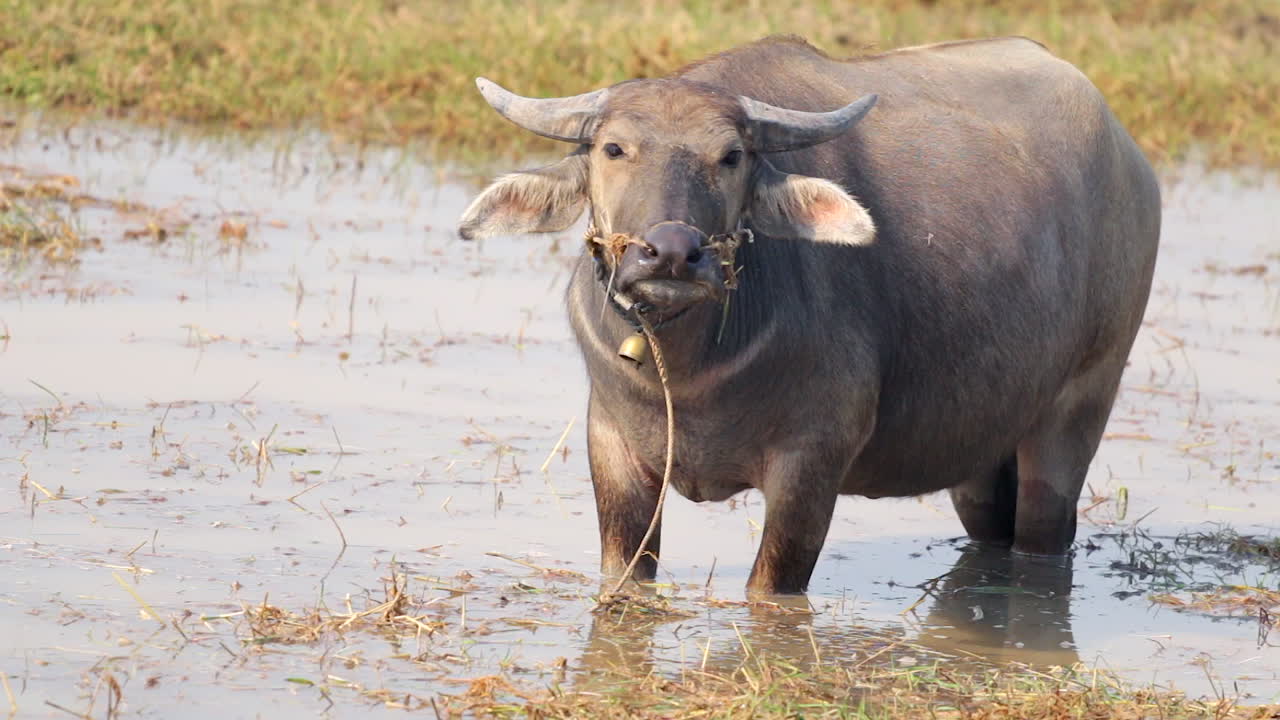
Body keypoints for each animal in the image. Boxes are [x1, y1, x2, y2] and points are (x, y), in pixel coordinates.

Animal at [459, 36, 1160, 595]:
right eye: (613, 148)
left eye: (731, 156)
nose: (673, 253)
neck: (688, 374)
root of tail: (1132, 162)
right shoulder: (613, 447)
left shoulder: (812, 462)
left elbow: (770, 590)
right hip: (981, 451)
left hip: (1081, 404)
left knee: (1047, 531)